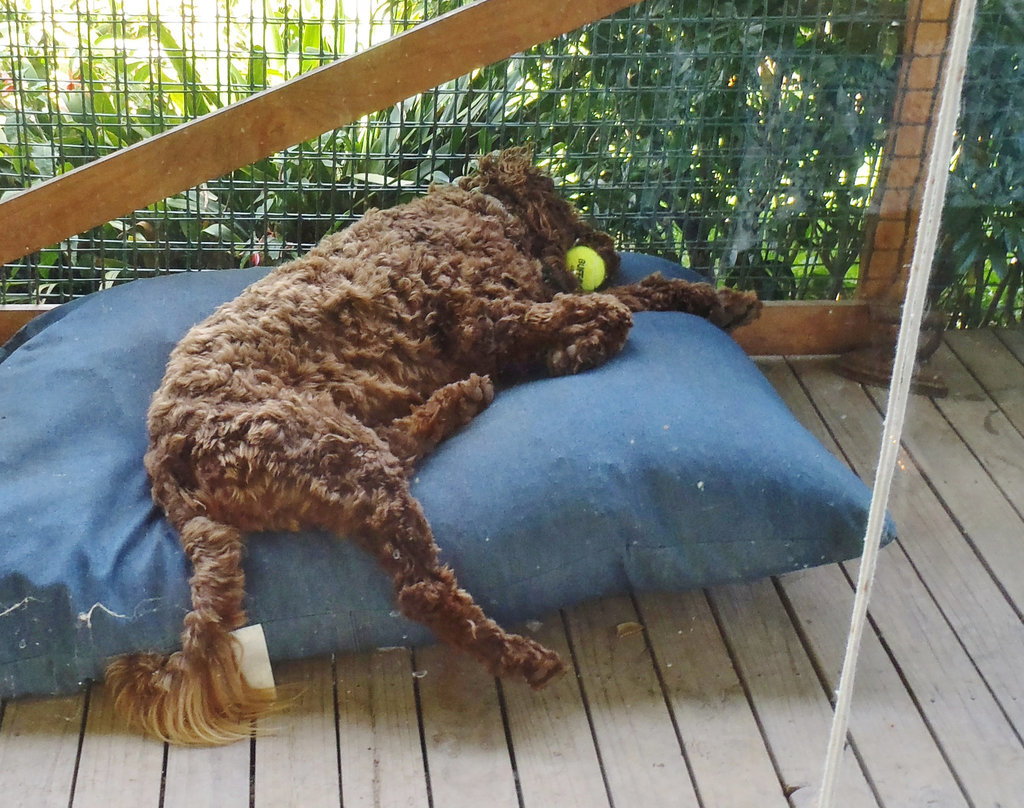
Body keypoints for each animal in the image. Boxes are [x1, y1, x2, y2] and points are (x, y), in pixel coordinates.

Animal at [105, 146, 761, 745]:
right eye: (567, 206)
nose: (612, 249)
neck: (478, 205)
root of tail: (163, 454)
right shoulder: (489, 319)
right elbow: (602, 309)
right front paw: (583, 343)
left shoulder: (512, 314)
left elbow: (637, 296)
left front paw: (720, 300)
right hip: (328, 448)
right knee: (421, 588)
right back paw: (519, 655)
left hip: (340, 443)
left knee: (401, 446)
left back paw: (461, 398)